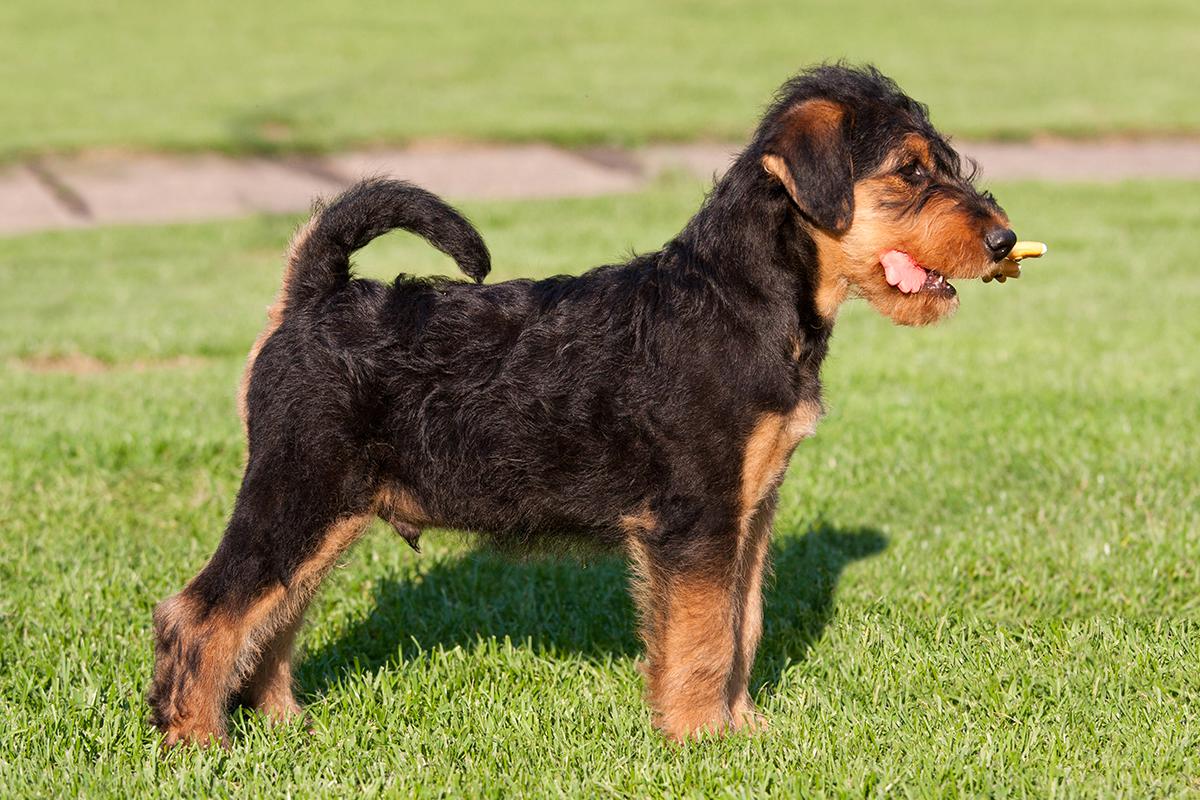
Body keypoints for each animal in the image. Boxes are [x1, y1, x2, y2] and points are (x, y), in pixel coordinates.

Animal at [145, 65, 1017, 748]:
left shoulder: (749, 511)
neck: (742, 297)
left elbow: (742, 624)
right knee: (203, 611)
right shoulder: (696, 519)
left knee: (272, 616)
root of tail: (313, 295)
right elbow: (704, 636)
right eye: (909, 171)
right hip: (297, 491)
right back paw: (197, 742)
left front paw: (743, 730)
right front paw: (700, 739)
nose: (1005, 240)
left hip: (329, 510)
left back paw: (281, 722)